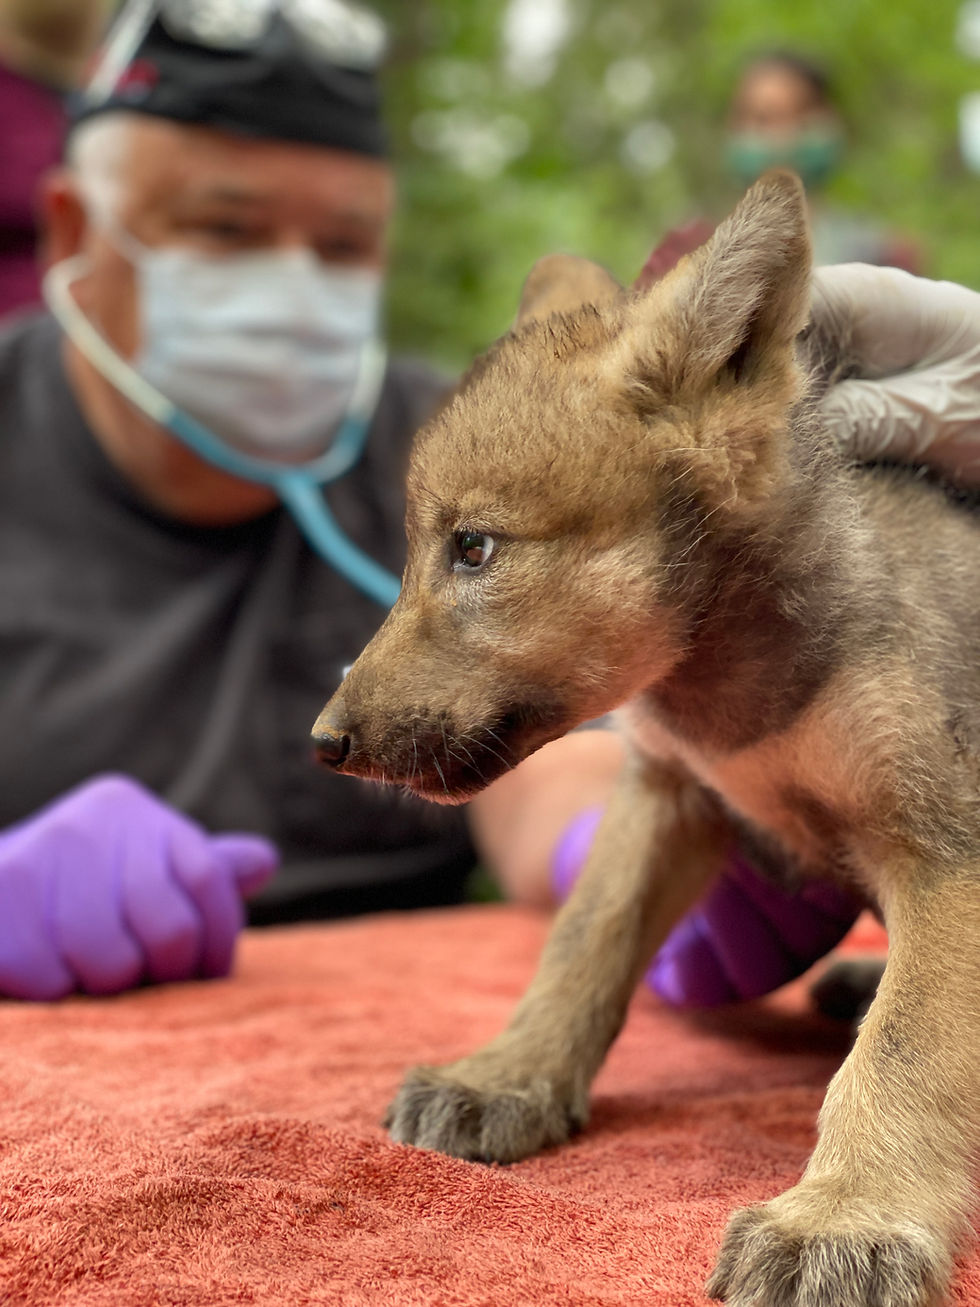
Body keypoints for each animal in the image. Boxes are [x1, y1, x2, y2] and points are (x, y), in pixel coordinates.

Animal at [312, 171, 980, 1306]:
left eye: (472, 547)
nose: (322, 742)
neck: (733, 700)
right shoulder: (665, 793)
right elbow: (580, 942)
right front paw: (509, 1075)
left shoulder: (946, 850)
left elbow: (902, 1050)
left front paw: (845, 1214)